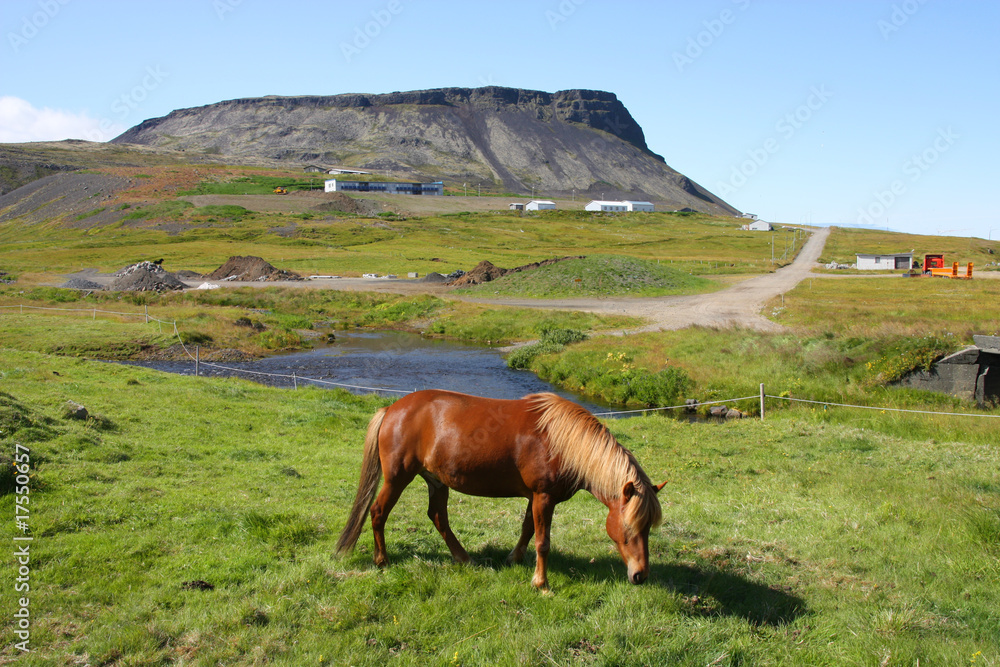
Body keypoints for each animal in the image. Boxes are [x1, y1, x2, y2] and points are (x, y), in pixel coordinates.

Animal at [336, 392, 664, 588]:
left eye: (649, 527)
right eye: (629, 527)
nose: (640, 575)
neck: (561, 441)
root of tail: (392, 408)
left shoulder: (535, 498)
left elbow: (528, 529)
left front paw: (514, 559)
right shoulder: (544, 497)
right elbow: (542, 541)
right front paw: (541, 583)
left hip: (437, 481)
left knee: (438, 517)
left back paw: (464, 558)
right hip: (397, 478)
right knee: (378, 512)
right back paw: (382, 560)